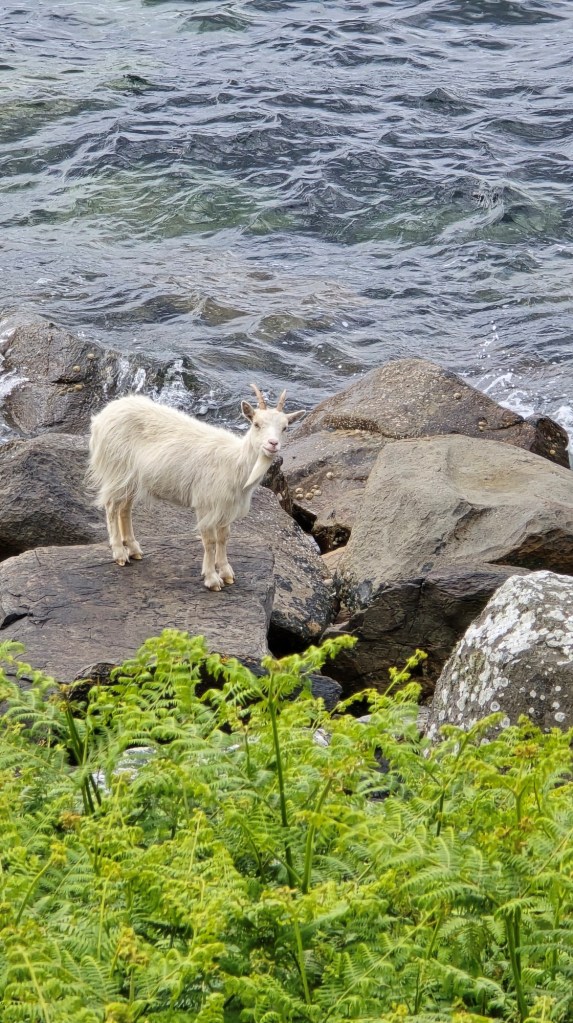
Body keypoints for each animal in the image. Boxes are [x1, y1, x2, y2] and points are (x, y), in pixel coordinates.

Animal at [88, 384, 306, 590]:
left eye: (285, 427)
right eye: (256, 424)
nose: (273, 443)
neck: (236, 462)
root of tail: (102, 416)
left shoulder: (226, 506)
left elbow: (224, 538)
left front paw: (226, 572)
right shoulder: (205, 503)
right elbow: (209, 541)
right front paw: (212, 579)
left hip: (131, 478)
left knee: (125, 508)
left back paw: (133, 549)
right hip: (117, 468)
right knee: (111, 506)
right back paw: (119, 553)